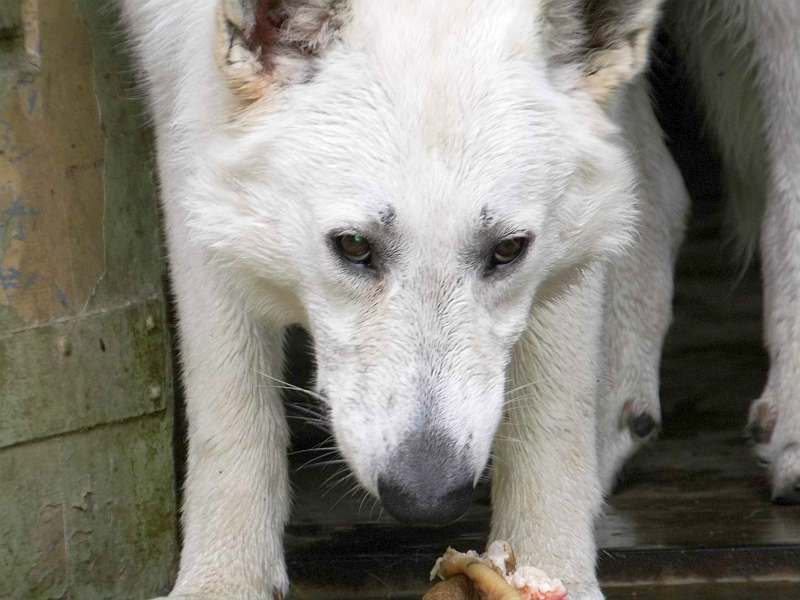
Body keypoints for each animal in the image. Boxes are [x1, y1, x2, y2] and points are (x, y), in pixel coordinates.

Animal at [120, 2, 800, 596]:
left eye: (508, 250)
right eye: (353, 246)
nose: (427, 499)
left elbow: (553, 416)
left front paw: (555, 573)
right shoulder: (187, 119)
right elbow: (229, 409)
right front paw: (220, 584)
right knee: (654, 189)